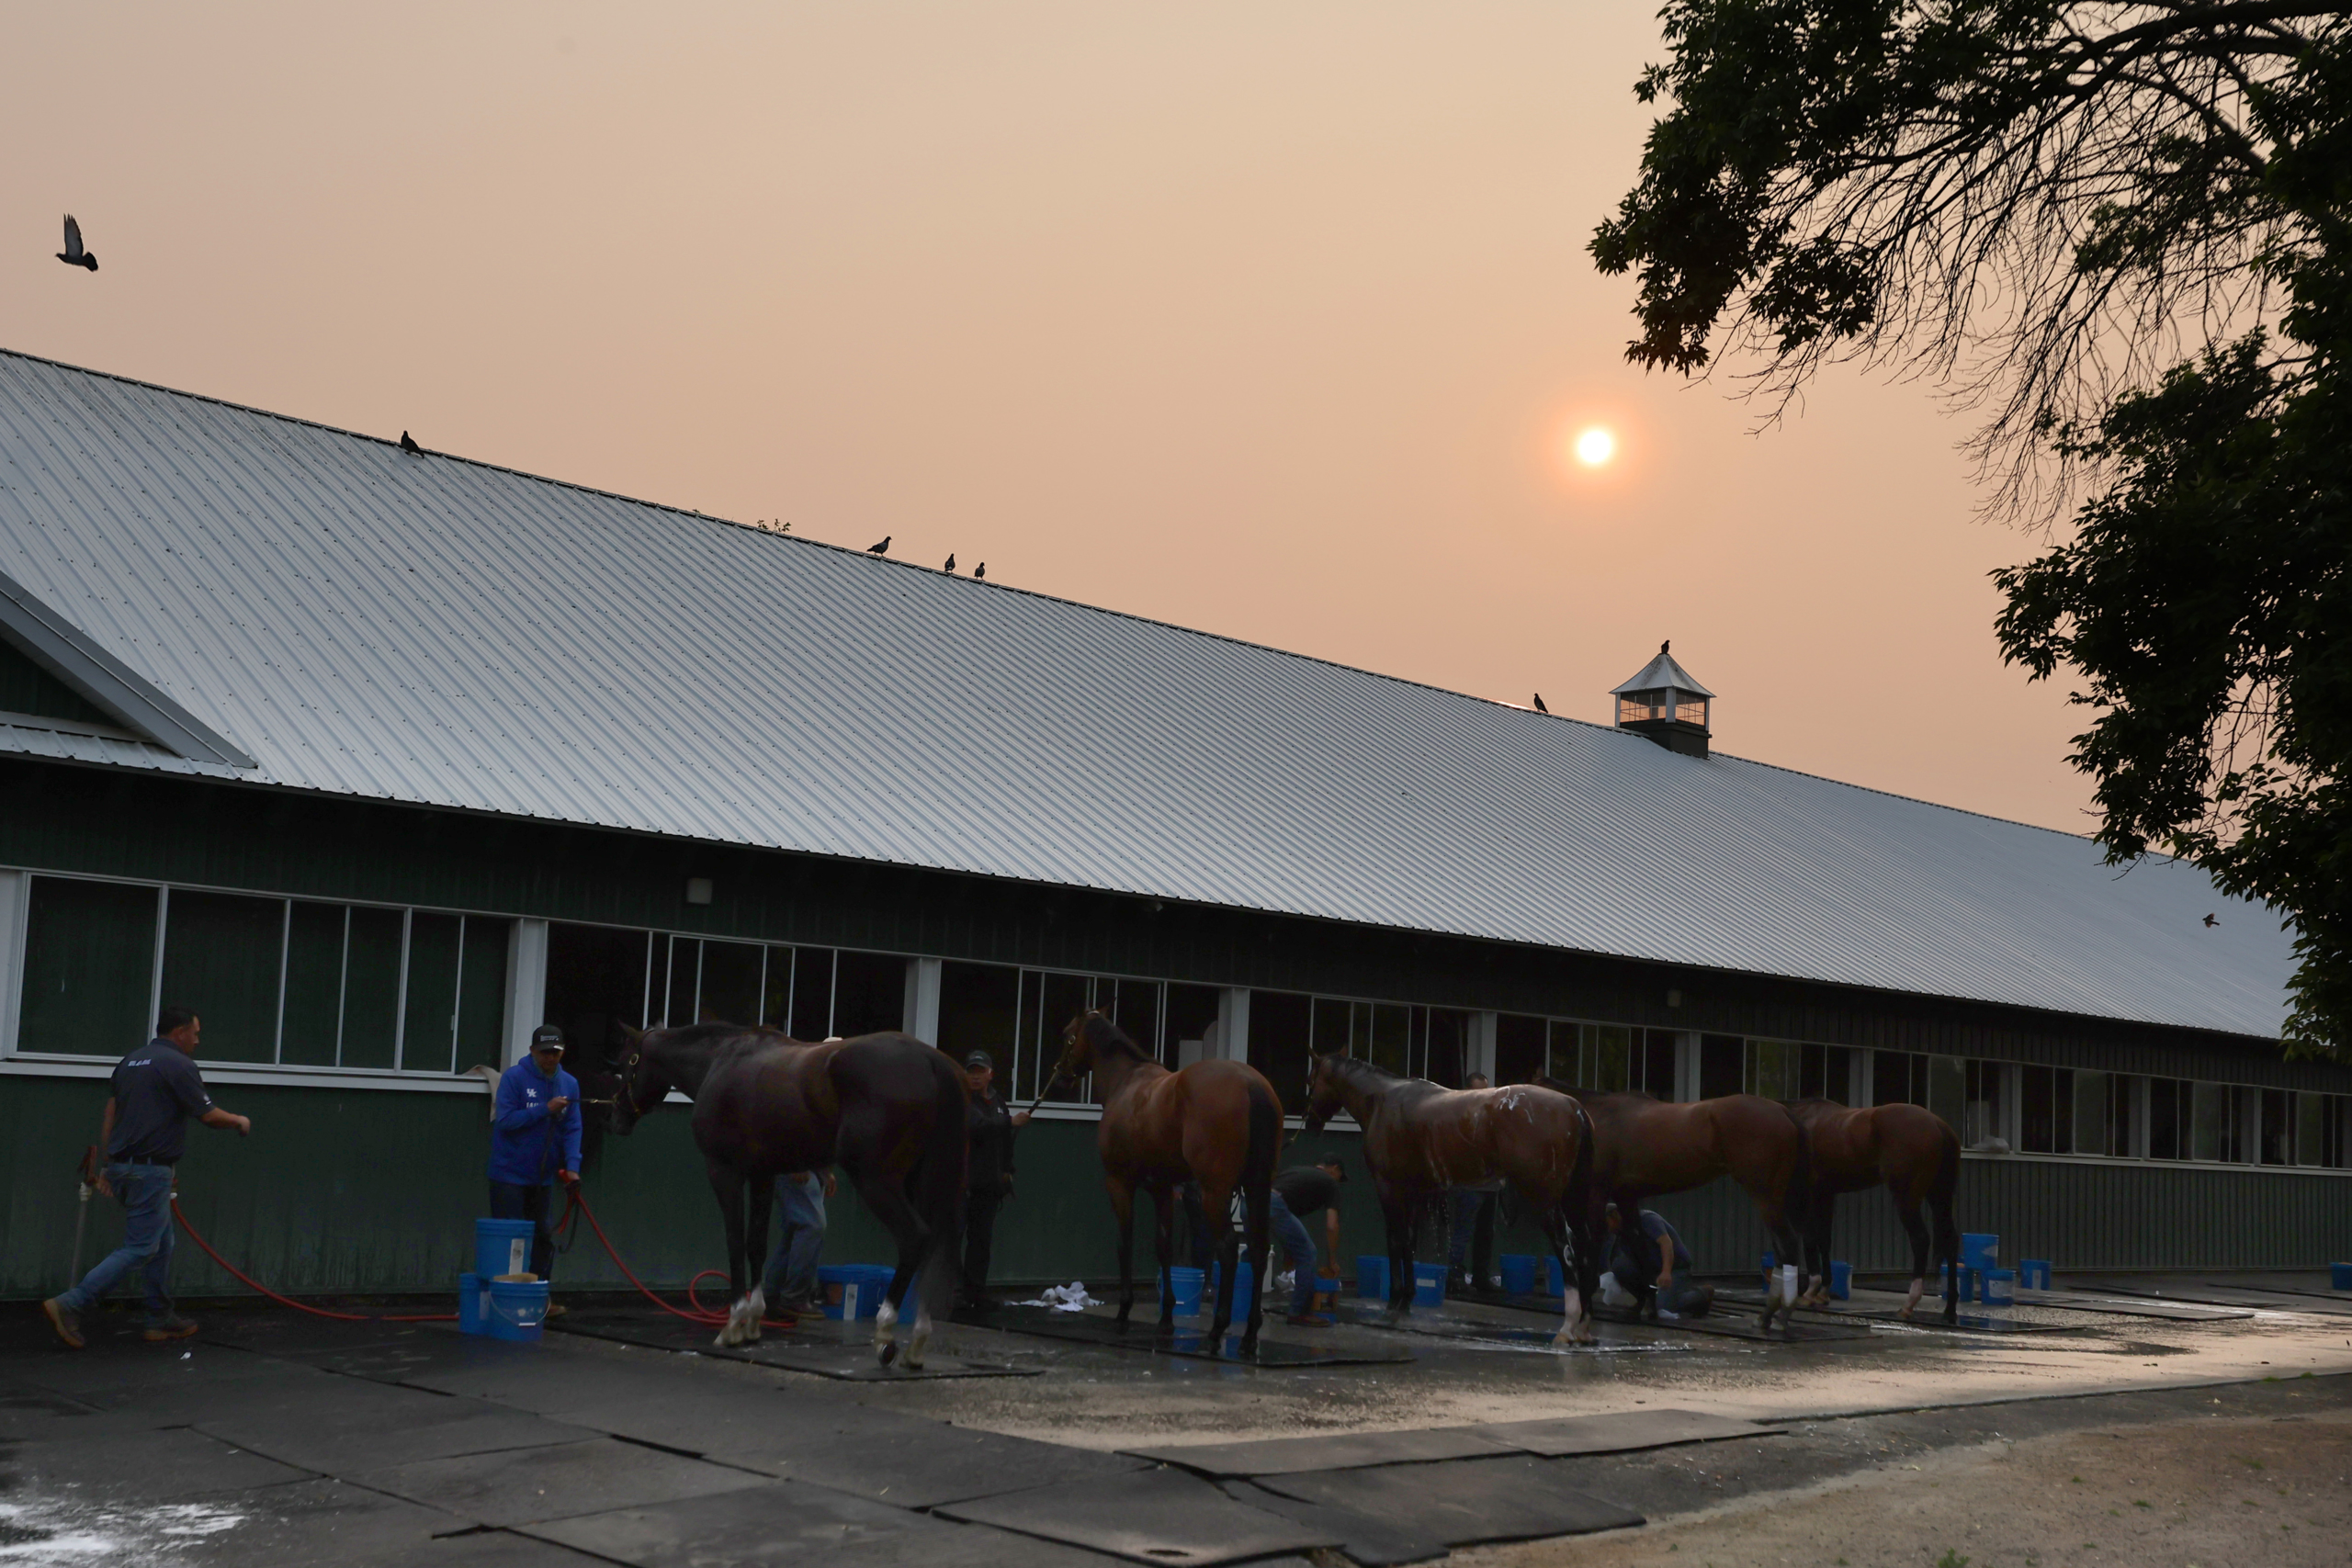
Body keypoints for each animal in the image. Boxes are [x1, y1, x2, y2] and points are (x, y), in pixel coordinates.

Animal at [616, 1024, 973, 1363]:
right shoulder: (763, 1176)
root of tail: (932, 1060)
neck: (721, 1061)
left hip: (876, 1181)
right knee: (934, 1243)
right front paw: (753, 1323)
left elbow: (734, 1241)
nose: (617, 1117)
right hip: (923, 1181)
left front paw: (733, 1325)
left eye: (626, 1063)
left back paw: (885, 1331)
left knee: (915, 1237)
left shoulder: (723, 1171)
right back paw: (918, 1341)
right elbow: (756, 1244)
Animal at [1053, 1010, 1288, 1354]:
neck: (1128, 1083)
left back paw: (1217, 1329)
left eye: (1067, 1034)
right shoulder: (1161, 1188)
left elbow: (1124, 1243)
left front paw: (1123, 1313)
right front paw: (1166, 1319)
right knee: (1257, 1249)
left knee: (1228, 1248)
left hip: (1215, 1193)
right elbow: (1163, 1247)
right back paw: (1249, 1335)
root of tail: (1252, 1084)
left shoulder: (1119, 1183)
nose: (1060, 1076)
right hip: (1257, 1188)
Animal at [1307, 1053, 1599, 1354]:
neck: (1382, 1099)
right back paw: (1583, 1328)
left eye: (1311, 1079)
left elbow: (1395, 1241)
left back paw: (1567, 1327)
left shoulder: (1389, 1189)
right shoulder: (1414, 1192)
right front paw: (1406, 1301)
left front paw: (1393, 1304)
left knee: (1566, 1250)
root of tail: (1574, 1108)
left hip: (1546, 1202)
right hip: (1574, 1200)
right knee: (1586, 1247)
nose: (1311, 1123)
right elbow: (1409, 1243)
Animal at [1533, 1086, 1806, 1335]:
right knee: (1782, 1251)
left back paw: (1777, 1317)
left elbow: (1591, 1246)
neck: (1592, 1117)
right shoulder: (1626, 1196)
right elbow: (1640, 1246)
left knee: (1788, 1245)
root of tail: (1782, 1111)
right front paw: (1646, 1306)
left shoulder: (1597, 1193)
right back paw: (1769, 1315)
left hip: (1765, 1197)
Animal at [1778, 1104, 1966, 1325]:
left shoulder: (1810, 1193)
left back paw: (1909, 1305)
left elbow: (1809, 1239)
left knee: (1920, 1239)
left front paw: (1810, 1292)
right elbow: (1824, 1240)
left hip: (1908, 1199)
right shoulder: (1826, 1194)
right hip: (1939, 1197)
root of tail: (1938, 1124)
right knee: (1950, 1240)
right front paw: (1823, 1292)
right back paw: (1950, 1310)